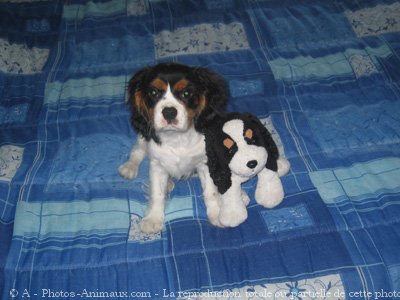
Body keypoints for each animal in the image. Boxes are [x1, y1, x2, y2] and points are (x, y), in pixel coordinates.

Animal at [119, 62, 228, 233]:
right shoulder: (157, 165)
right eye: (154, 92)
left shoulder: (205, 163)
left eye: (186, 93)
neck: (176, 137)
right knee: (138, 150)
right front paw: (153, 219)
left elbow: (211, 191)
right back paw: (130, 167)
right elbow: (157, 193)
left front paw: (216, 214)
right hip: (144, 137)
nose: (169, 112)